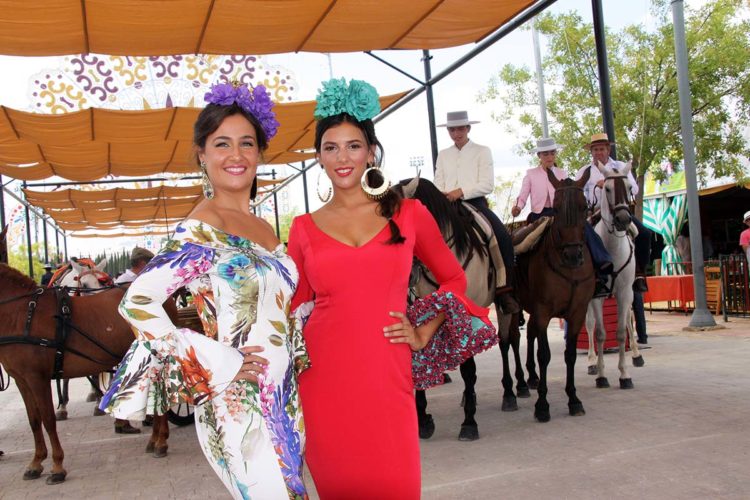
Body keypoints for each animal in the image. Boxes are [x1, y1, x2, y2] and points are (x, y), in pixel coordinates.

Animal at [0, 262, 175, 484]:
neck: (22, 313)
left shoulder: (37, 378)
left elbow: (48, 419)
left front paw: (57, 466)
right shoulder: (22, 379)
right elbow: (34, 420)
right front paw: (36, 462)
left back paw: (161, 442)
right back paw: (155, 440)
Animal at [394, 177, 528, 442]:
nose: (405, 274)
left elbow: (468, 368)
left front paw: (469, 423)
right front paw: (423, 421)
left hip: (505, 306)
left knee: (507, 342)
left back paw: (511, 392)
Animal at [516, 170, 596, 424]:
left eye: (584, 207)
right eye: (557, 208)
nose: (573, 255)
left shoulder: (577, 312)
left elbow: (570, 355)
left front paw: (573, 399)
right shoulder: (543, 311)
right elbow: (544, 355)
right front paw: (542, 405)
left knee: (529, 333)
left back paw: (531, 377)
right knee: (511, 340)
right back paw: (519, 384)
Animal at [588, 162, 648, 388]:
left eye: (630, 187)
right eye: (606, 188)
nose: (623, 219)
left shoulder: (624, 292)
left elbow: (622, 332)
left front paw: (624, 374)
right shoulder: (595, 296)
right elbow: (599, 333)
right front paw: (601, 375)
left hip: (628, 293)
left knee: (630, 321)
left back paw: (637, 356)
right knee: (589, 325)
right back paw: (591, 362)